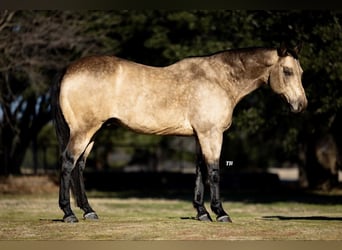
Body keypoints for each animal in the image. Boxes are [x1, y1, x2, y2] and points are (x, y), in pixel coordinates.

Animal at [50, 44, 308, 223]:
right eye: (287, 71)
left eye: (301, 72)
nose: (301, 105)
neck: (219, 80)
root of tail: (69, 70)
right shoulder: (211, 134)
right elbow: (214, 171)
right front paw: (220, 213)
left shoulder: (200, 135)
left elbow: (200, 170)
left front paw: (202, 213)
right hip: (83, 131)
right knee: (68, 162)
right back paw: (69, 213)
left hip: (93, 132)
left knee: (79, 166)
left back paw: (88, 211)